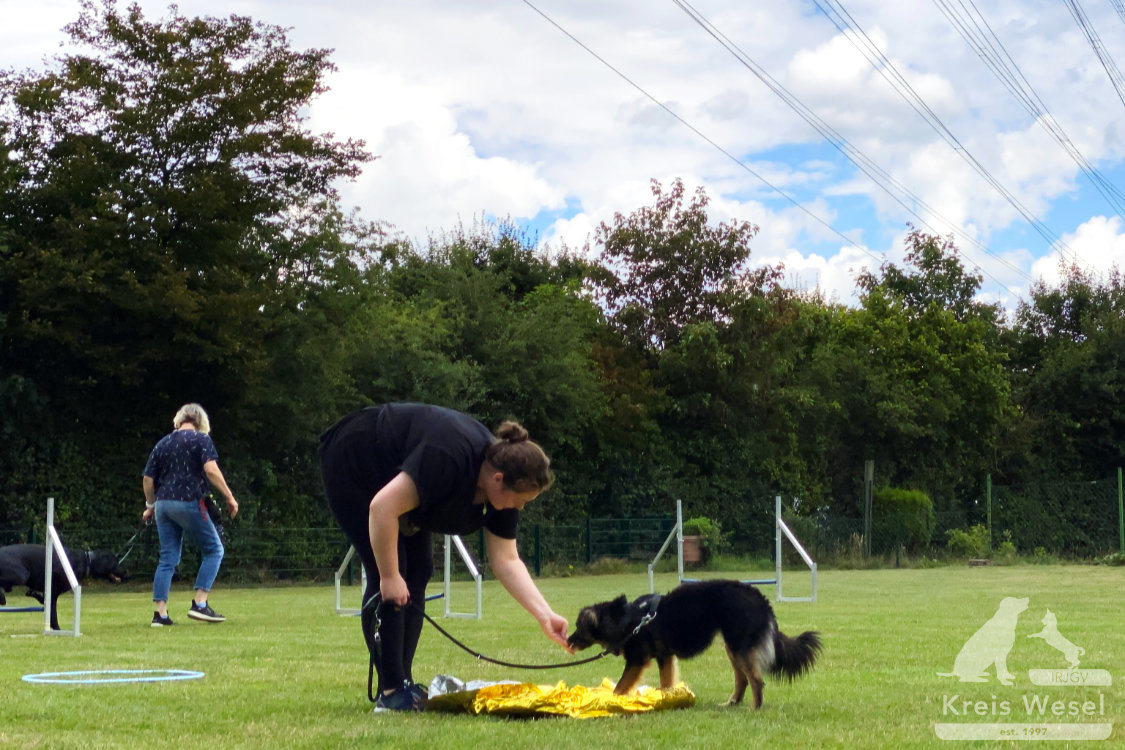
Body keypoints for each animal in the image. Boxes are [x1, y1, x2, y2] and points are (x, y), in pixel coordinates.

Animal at [567, 580, 823, 706]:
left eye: (579, 627)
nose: (568, 641)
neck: (626, 619)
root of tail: (760, 599)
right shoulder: (664, 657)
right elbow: (666, 683)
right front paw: (667, 700)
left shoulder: (637, 661)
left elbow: (620, 687)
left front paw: (611, 701)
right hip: (733, 647)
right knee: (742, 679)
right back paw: (732, 703)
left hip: (738, 645)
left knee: (756, 680)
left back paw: (755, 708)